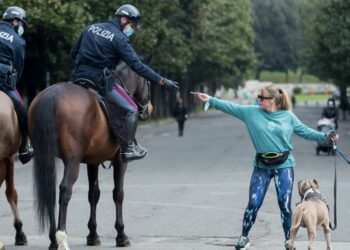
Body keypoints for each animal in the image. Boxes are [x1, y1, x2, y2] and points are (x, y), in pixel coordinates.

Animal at [28, 62, 151, 250]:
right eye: (147, 82)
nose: (148, 109)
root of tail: (51, 96)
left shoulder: (93, 162)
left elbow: (93, 194)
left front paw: (93, 234)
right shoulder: (120, 161)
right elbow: (118, 193)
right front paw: (121, 235)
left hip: (46, 156)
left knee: (50, 192)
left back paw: (53, 239)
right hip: (72, 161)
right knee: (65, 190)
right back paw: (61, 236)